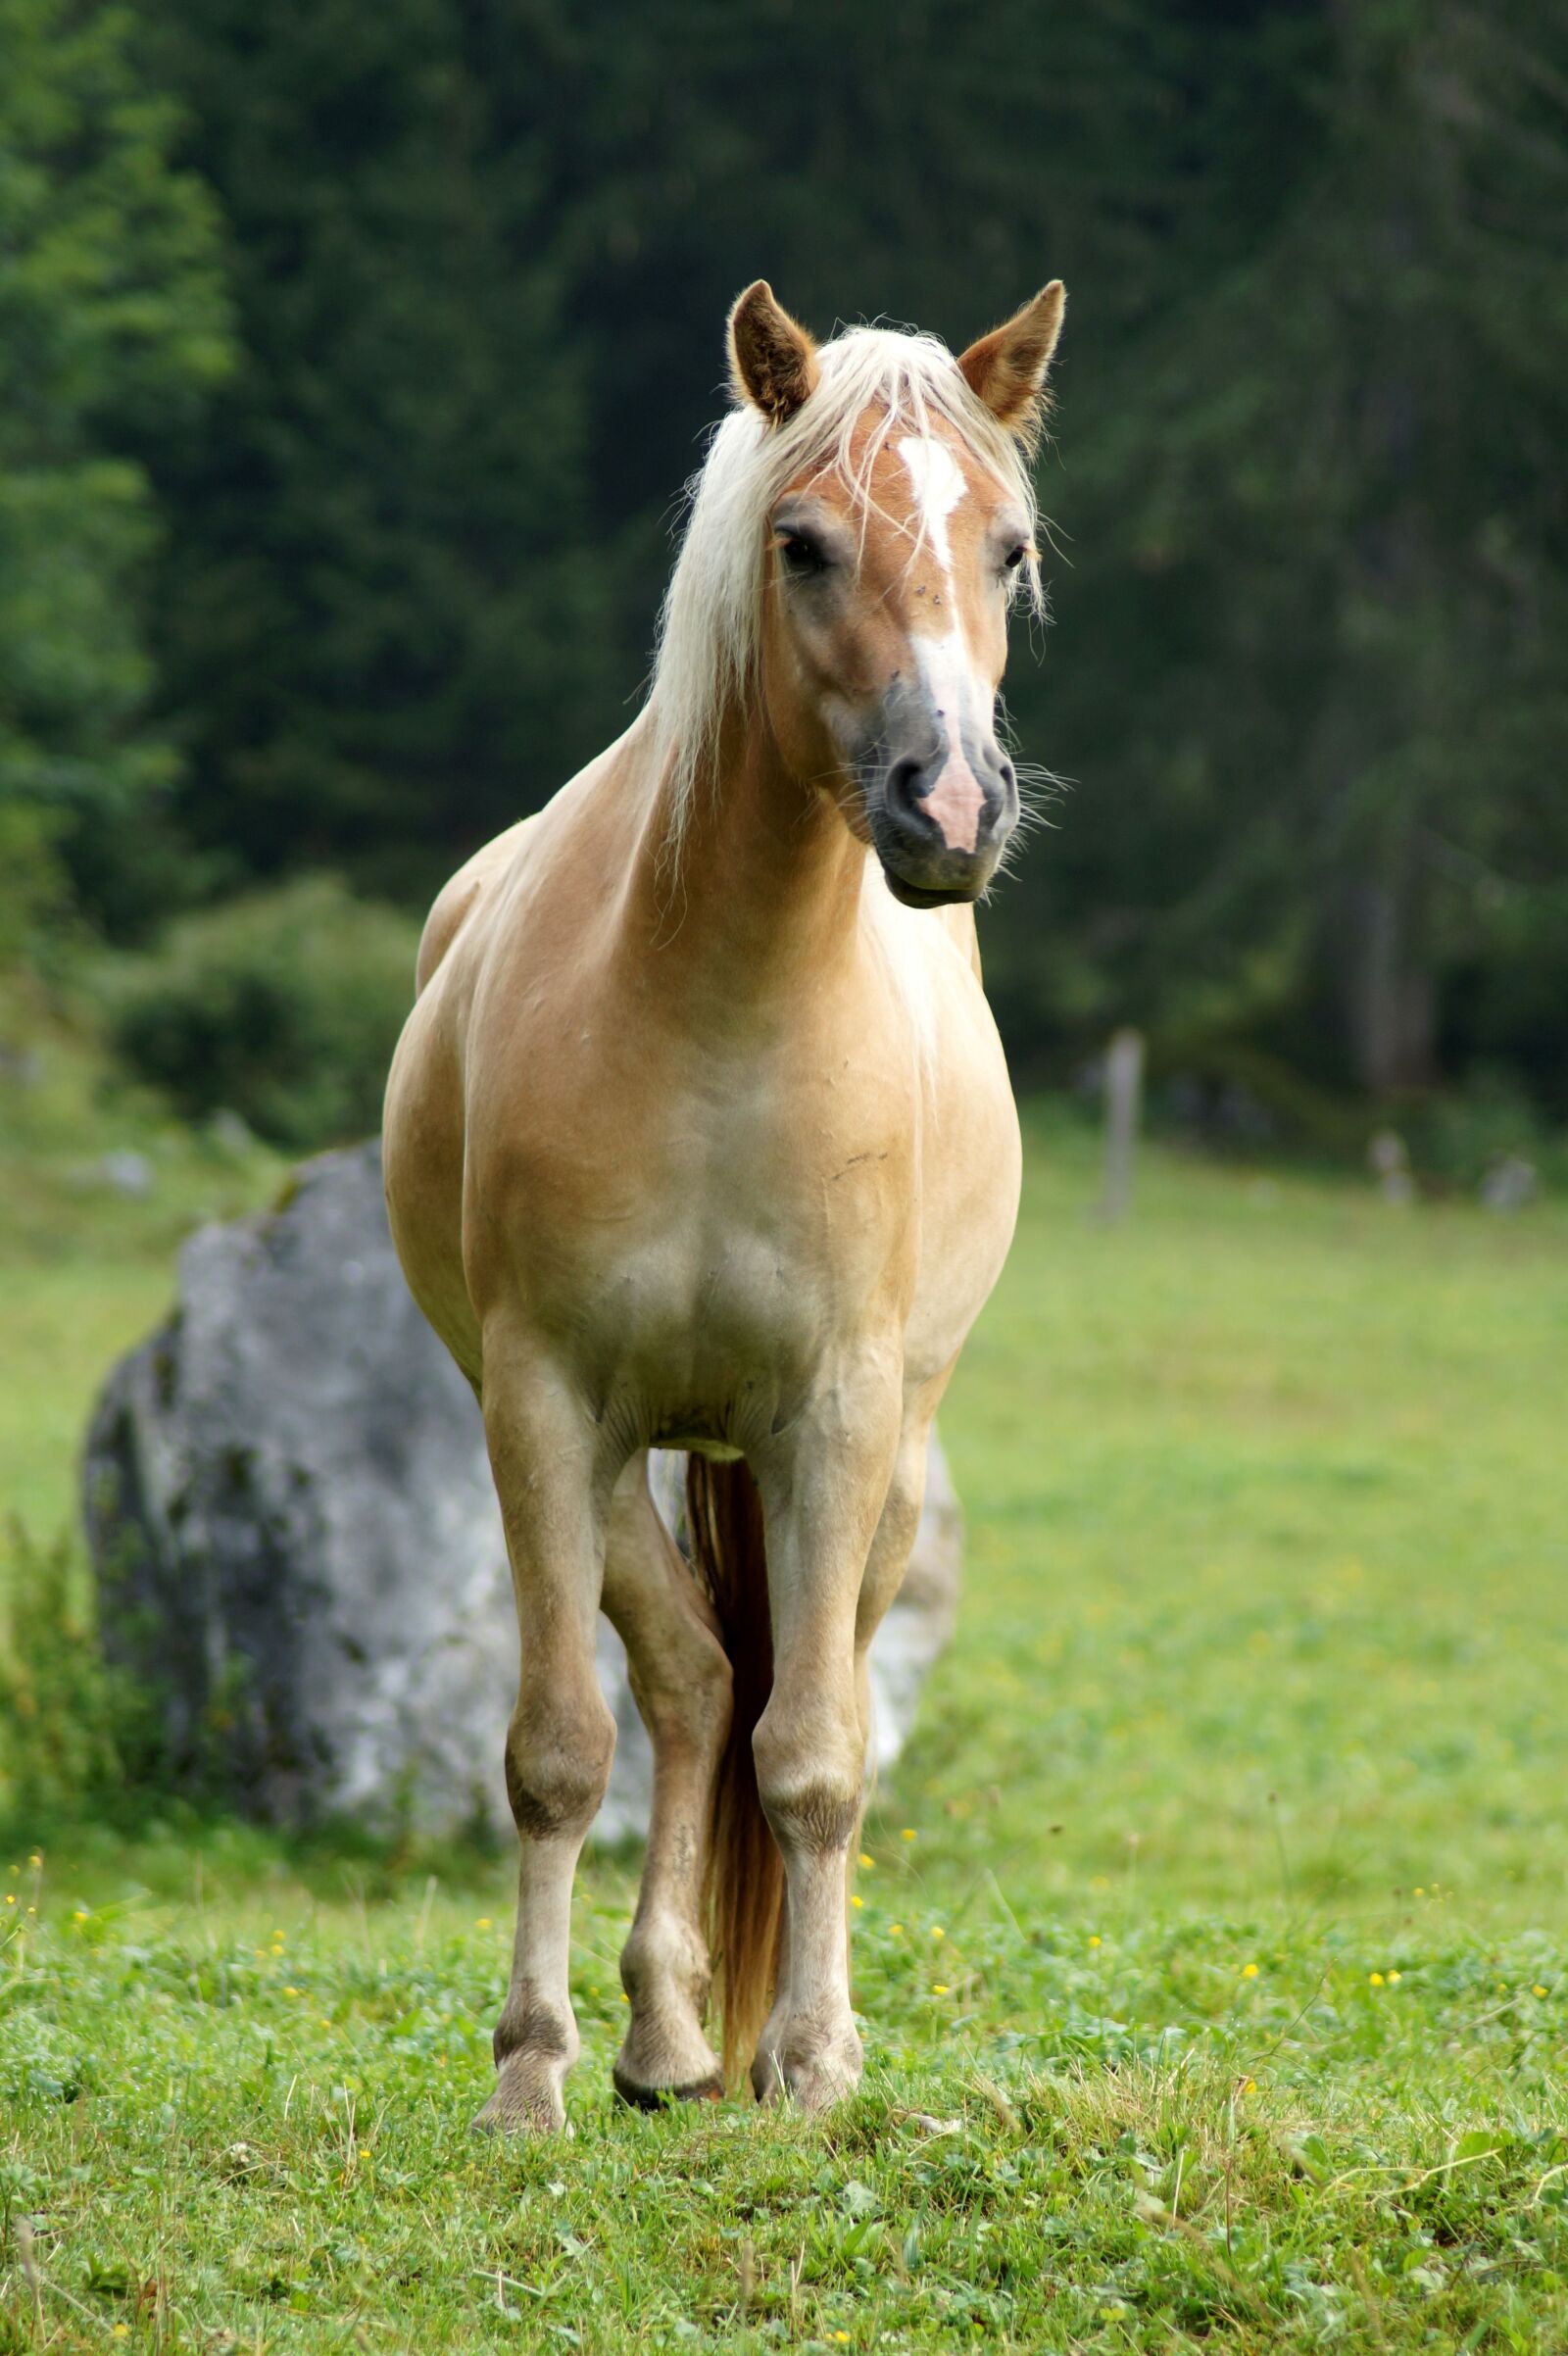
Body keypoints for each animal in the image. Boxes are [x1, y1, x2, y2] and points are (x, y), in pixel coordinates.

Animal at [383, 276, 1066, 2130]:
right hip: (619, 1447)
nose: (949, 803)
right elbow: (563, 1747)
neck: (718, 1012)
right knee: (687, 1684)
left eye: (1007, 552)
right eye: (804, 542)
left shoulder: (834, 1411)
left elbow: (816, 1753)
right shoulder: (545, 1400)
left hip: (885, 1454)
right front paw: (529, 2072)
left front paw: (817, 2066)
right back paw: (661, 2031)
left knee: (773, 1691)